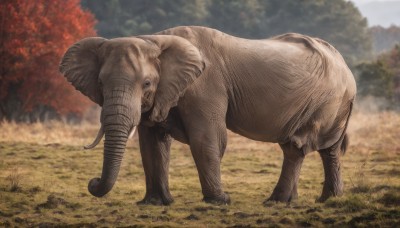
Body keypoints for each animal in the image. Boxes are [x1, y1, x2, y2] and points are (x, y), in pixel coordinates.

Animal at [59, 25, 356, 206]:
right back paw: (327, 200)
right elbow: (152, 143)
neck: (155, 39)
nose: (93, 182)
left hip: (328, 100)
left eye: (146, 83)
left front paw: (219, 201)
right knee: (328, 149)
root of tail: (345, 65)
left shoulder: (206, 85)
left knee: (297, 145)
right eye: (100, 83)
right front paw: (155, 203)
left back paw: (277, 201)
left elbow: (206, 138)